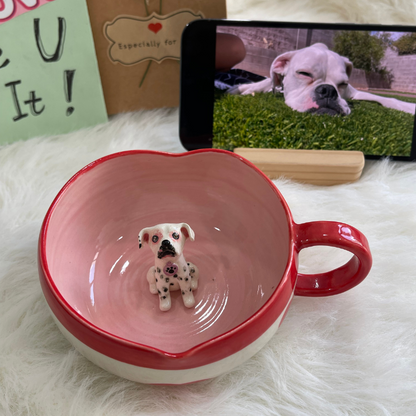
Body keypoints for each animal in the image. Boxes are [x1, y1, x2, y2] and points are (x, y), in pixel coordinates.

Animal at [229, 42, 414, 115]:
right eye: (303, 73)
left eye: (343, 84)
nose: (328, 91)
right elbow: (267, 82)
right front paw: (244, 88)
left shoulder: (354, 92)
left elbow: (386, 98)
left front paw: (408, 106)